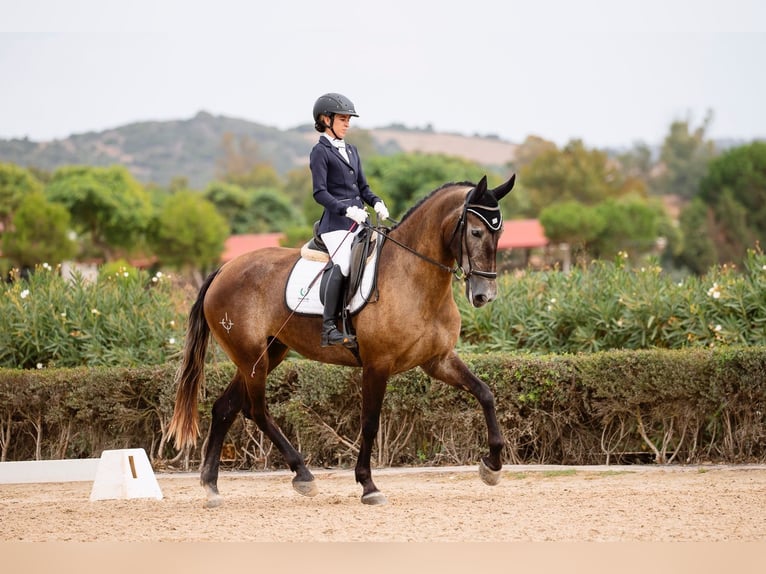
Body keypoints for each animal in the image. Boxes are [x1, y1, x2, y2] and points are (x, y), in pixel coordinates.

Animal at [171, 173, 520, 506]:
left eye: (500, 233)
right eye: (476, 233)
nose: (484, 295)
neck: (414, 276)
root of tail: (223, 270)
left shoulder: (438, 360)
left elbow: (485, 393)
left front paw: (492, 465)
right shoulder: (377, 364)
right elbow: (369, 422)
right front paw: (368, 485)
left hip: (267, 354)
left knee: (225, 408)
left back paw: (212, 486)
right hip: (251, 356)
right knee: (255, 410)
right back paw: (303, 474)